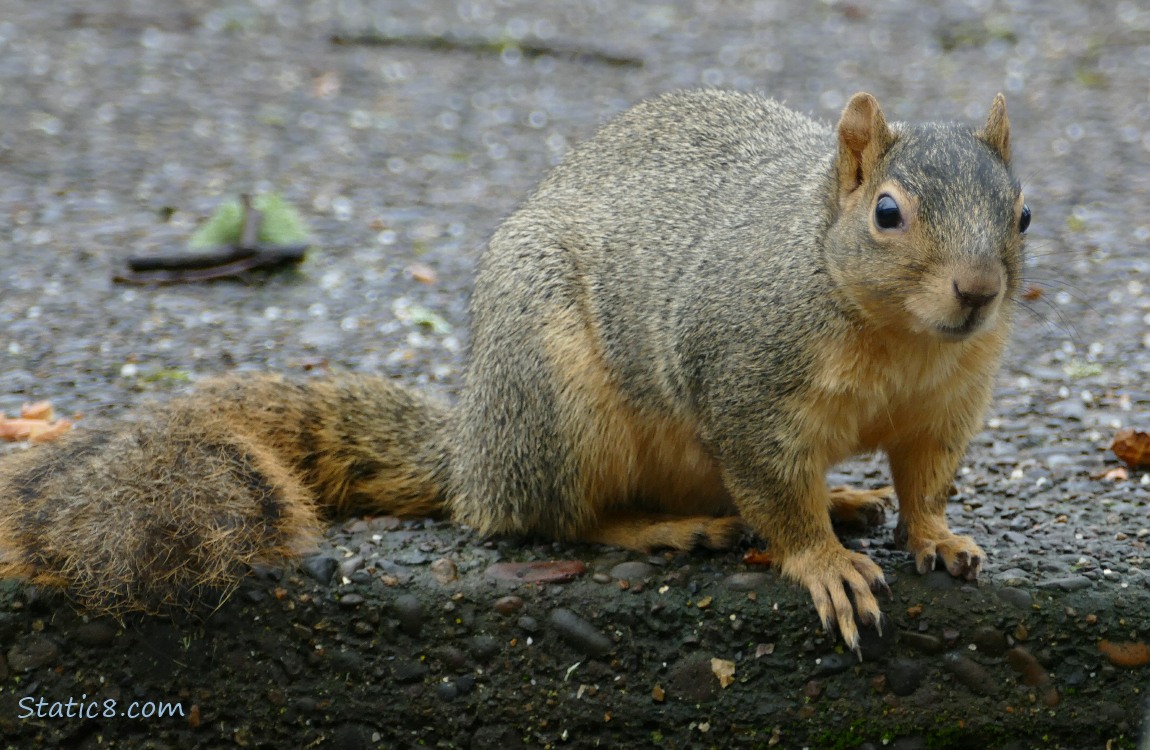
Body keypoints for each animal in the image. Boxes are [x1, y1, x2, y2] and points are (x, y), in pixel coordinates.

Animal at [0, 87, 1025, 648]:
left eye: (1022, 214)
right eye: (887, 214)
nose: (979, 292)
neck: (899, 340)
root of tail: (473, 458)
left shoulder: (952, 399)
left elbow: (928, 478)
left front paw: (936, 537)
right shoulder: (747, 382)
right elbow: (775, 489)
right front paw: (824, 565)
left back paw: (845, 500)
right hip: (560, 403)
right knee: (558, 519)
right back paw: (671, 529)